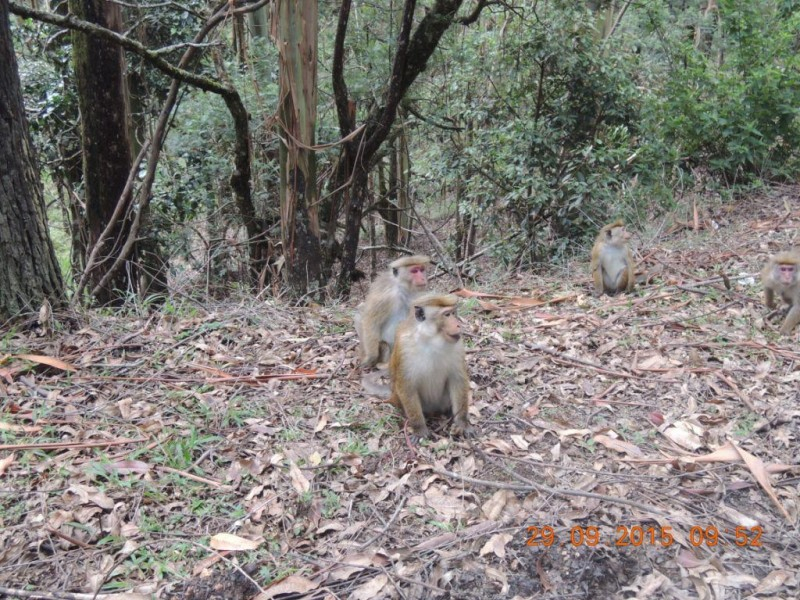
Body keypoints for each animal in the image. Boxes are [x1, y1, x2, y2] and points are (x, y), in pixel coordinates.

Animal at [390, 294, 476, 440]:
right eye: (447, 315)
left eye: (453, 313)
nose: (458, 324)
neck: (430, 340)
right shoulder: (404, 347)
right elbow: (406, 386)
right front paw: (419, 428)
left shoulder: (458, 346)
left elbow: (457, 380)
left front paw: (462, 422)